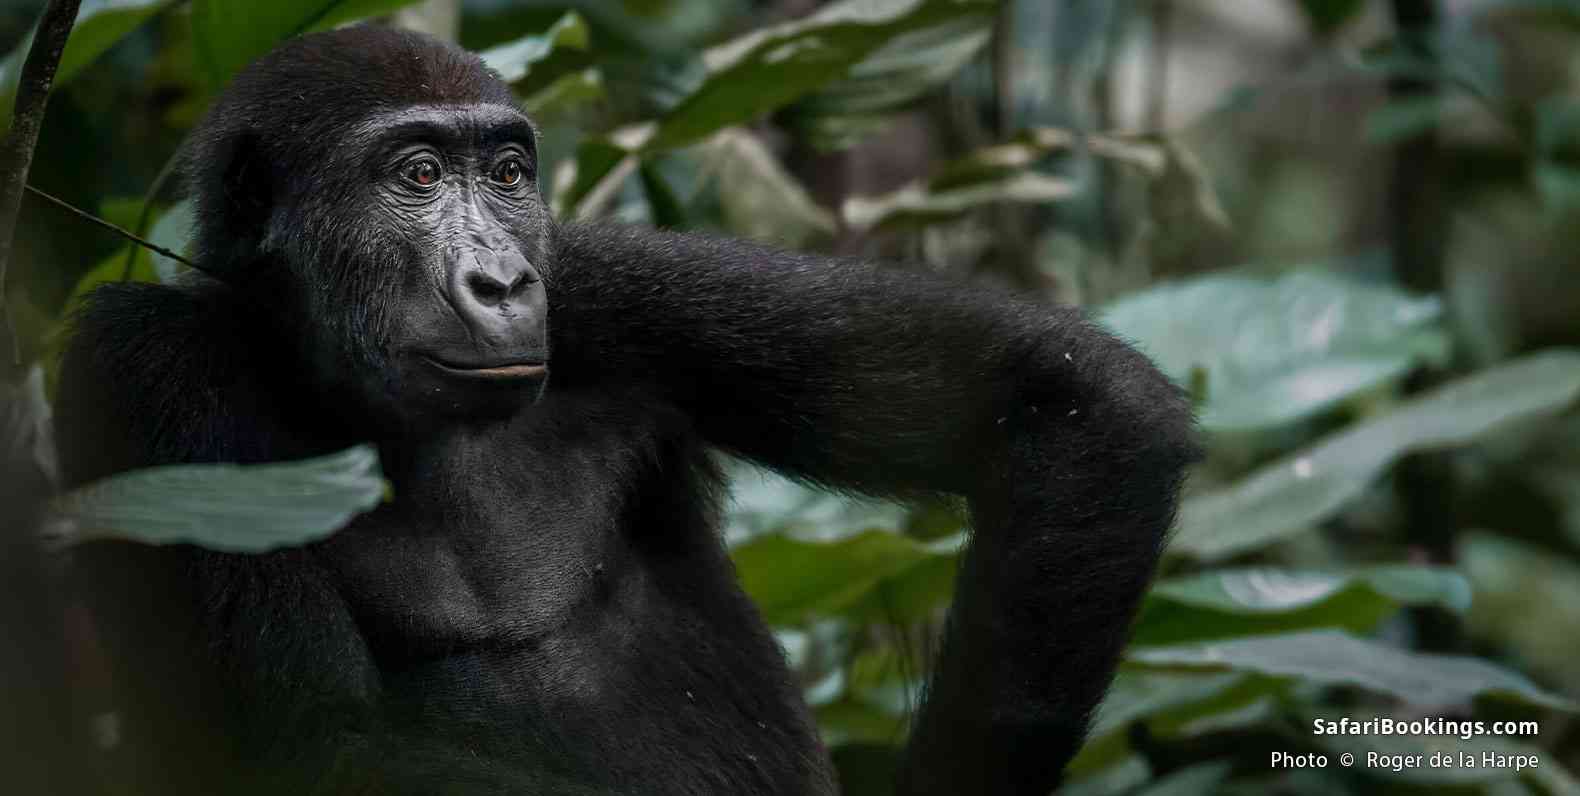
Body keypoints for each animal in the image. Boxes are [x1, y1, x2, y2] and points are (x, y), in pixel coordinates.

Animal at [58, 24, 1194, 796]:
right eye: (416, 174)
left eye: (506, 174)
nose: (501, 281)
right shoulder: (146, 371)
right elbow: (320, 748)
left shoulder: (607, 284)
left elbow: (1056, 399)